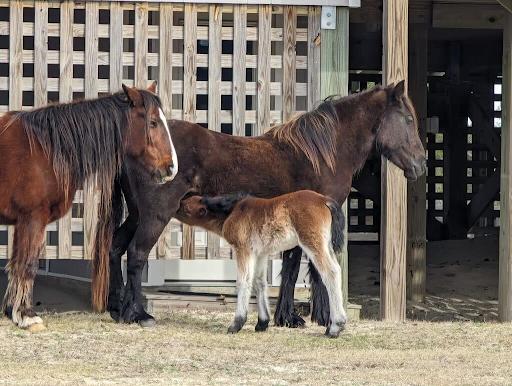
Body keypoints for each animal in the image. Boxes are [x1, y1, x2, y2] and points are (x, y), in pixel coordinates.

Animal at [1, 81, 178, 328]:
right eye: (152, 122)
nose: (171, 167)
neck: (43, 149)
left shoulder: (22, 222)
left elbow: (16, 264)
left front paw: (13, 311)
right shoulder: (32, 219)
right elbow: (27, 264)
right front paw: (27, 315)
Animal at [178, 190, 346, 338]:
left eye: (186, 207)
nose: (176, 206)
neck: (234, 210)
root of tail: (324, 200)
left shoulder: (243, 249)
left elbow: (243, 282)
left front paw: (236, 324)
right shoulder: (260, 253)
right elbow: (259, 282)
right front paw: (262, 323)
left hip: (312, 243)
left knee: (331, 273)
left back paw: (335, 327)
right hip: (326, 246)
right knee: (336, 270)